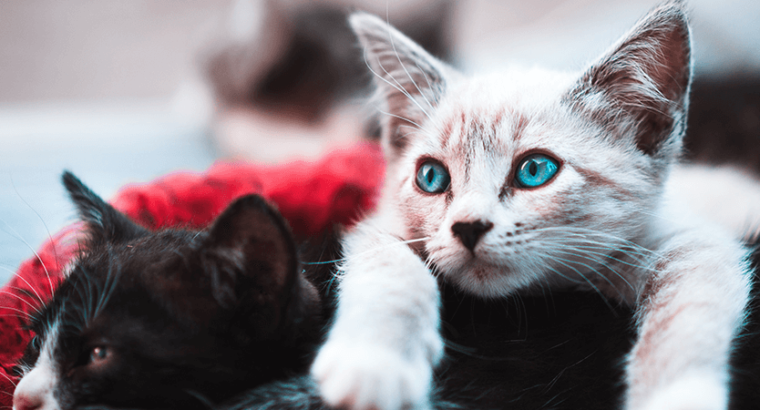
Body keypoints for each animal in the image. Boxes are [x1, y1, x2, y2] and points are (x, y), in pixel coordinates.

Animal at [310, 4, 756, 410]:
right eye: (431, 177)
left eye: (535, 170)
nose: (468, 227)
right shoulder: (380, 226)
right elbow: (389, 269)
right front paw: (373, 362)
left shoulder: (691, 241)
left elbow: (688, 317)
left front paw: (677, 395)